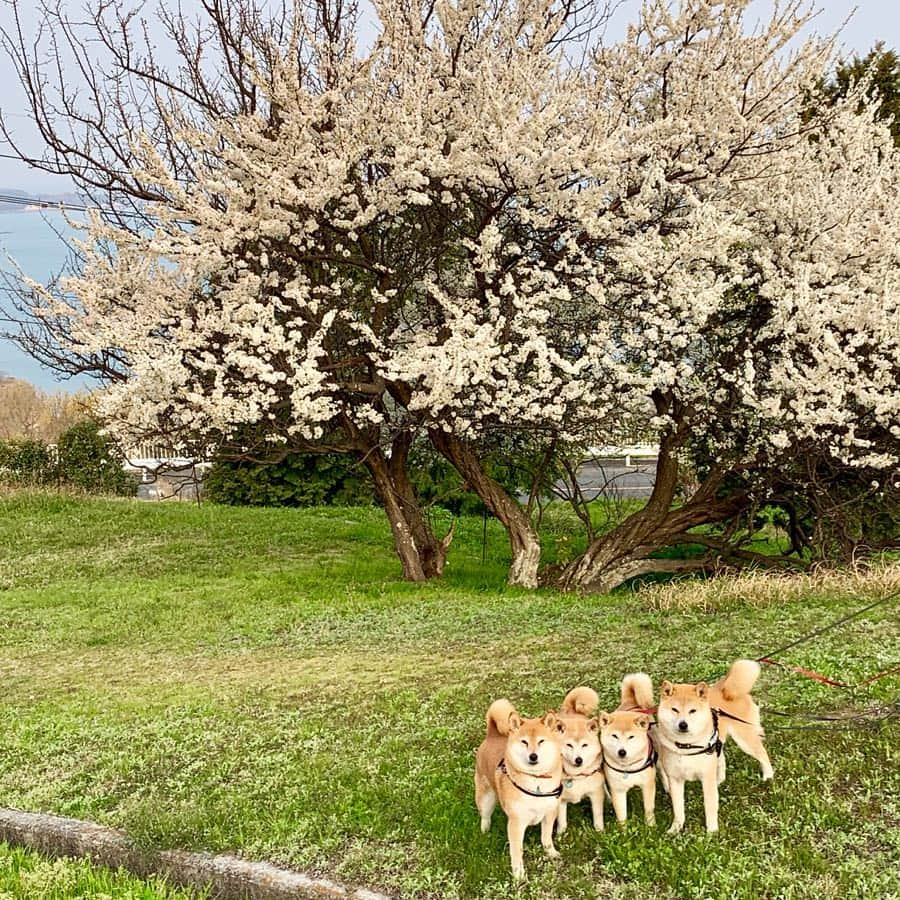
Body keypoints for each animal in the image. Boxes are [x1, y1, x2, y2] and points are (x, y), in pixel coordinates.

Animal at [478, 696, 564, 880]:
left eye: (541, 741)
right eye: (524, 742)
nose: (533, 756)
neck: (536, 782)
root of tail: (492, 735)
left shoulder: (550, 813)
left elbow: (546, 837)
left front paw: (551, 853)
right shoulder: (516, 822)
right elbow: (516, 851)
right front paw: (519, 874)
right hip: (485, 797)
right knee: (485, 816)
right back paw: (485, 831)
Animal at [556, 688, 604, 836]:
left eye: (584, 745)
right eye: (569, 745)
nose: (578, 759)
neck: (576, 775)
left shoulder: (596, 793)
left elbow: (598, 816)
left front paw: (600, 831)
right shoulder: (559, 799)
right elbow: (561, 821)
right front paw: (560, 835)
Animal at [600, 672, 656, 828]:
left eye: (631, 737)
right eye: (614, 736)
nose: (622, 751)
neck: (628, 768)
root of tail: (630, 701)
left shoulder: (647, 785)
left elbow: (649, 809)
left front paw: (651, 827)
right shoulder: (617, 790)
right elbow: (621, 814)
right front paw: (623, 830)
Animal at [652, 656, 772, 832]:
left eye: (692, 711)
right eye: (674, 709)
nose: (683, 724)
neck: (687, 747)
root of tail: (725, 687)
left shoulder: (706, 778)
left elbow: (709, 806)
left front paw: (712, 831)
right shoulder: (675, 780)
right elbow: (678, 809)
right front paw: (675, 828)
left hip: (745, 740)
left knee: (762, 754)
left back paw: (768, 776)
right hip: (717, 744)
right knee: (722, 758)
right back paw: (720, 780)